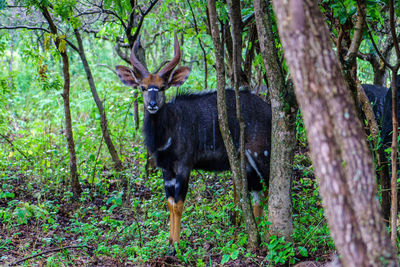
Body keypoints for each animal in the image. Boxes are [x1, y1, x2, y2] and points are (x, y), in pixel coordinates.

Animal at [115, 33, 272, 253]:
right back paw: (254, 236)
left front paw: (176, 246)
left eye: (162, 87)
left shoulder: (184, 166)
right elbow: (170, 203)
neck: (168, 132)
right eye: (143, 87)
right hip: (248, 164)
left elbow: (179, 204)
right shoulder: (166, 170)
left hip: (261, 154)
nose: (152, 105)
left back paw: (266, 236)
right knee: (258, 193)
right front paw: (169, 243)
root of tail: (270, 111)